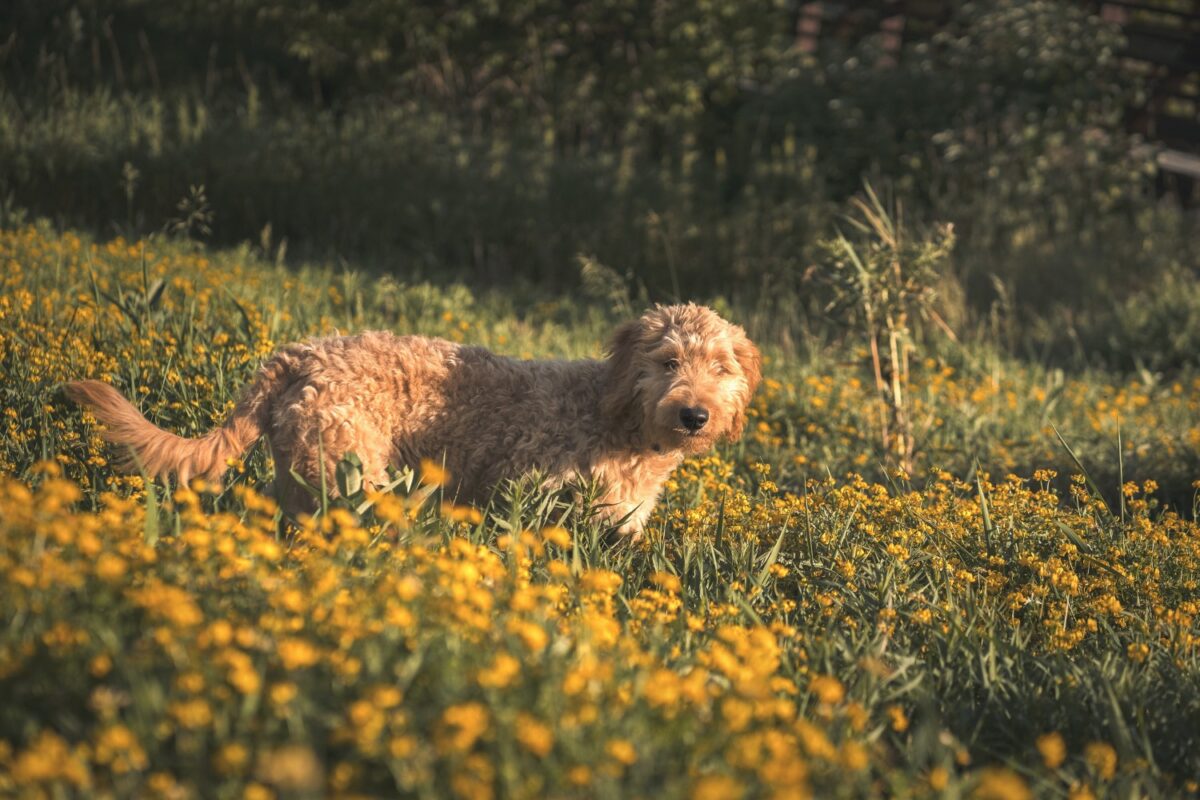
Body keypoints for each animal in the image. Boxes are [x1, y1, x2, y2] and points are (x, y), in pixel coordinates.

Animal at [66, 303, 761, 534]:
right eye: (668, 361)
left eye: (721, 366)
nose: (695, 414)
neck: (614, 413)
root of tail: (300, 355)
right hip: (352, 473)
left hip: (304, 471)